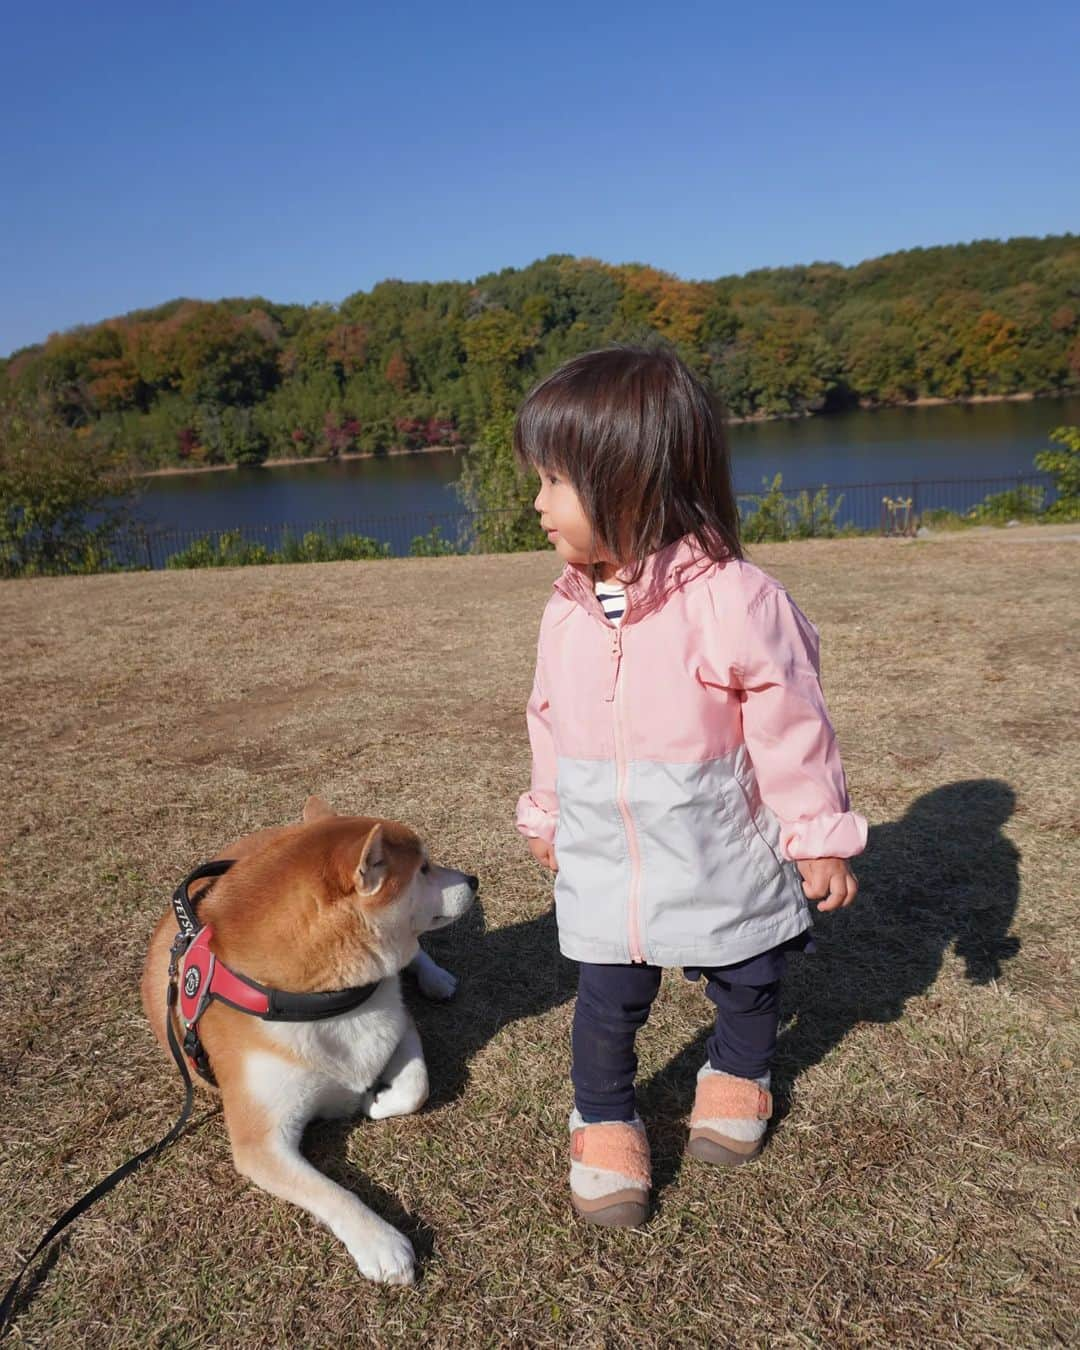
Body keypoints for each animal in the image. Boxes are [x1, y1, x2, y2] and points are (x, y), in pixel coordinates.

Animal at [142, 799, 477, 1285]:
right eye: (424, 869)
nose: (473, 880)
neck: (316, 999)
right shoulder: (260, 1143)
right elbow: (330, 1192)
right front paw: (381, 1242)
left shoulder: (400, 1025)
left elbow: (417, 1088)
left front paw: (376, 1101)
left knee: (416, 954)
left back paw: (436, 978)